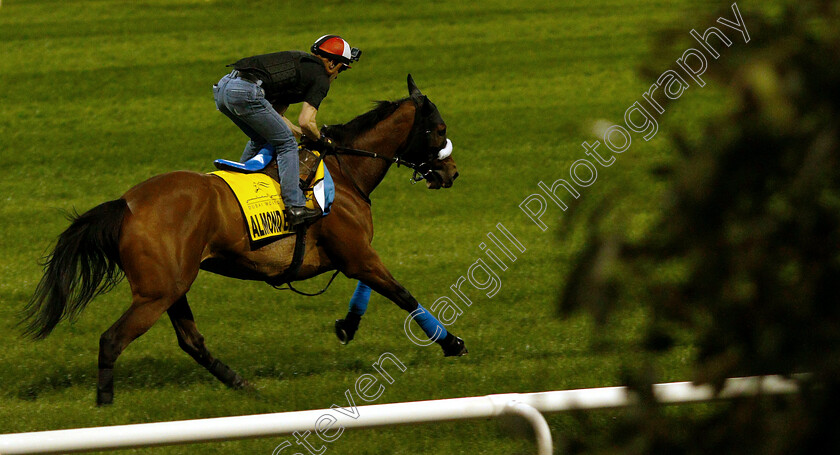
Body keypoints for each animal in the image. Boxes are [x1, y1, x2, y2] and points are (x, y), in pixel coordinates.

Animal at [23, 75, 466, 406]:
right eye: (440, 129)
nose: (452, 173)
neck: (344, 170)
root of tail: (126, 204)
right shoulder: (357, 254)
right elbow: (402, 294)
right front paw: (453, 343)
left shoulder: (354, 256)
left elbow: (374, 288)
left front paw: (348, 324)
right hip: (156, 292)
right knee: (112, 339)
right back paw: (106, 404)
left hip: (172, 286)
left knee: (191, 341)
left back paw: (243, 386)